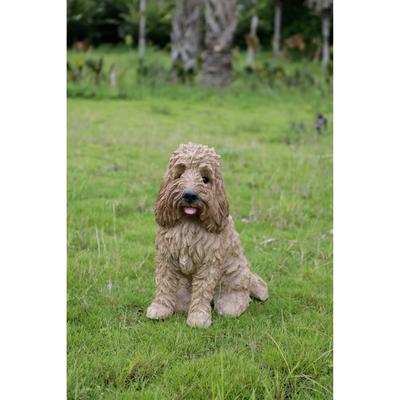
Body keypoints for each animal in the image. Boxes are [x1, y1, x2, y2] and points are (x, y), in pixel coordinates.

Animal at [145, 144, 268, 328]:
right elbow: (164, 282)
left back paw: (233, 301)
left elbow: (203, 290)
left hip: (235, 276)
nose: (189, 195)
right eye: (180, 174)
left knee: (239, 295)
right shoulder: (166, 256)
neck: (189, 221)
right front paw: (160, 308)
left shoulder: (209, 261)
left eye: (205, 179)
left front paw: (198, 318)